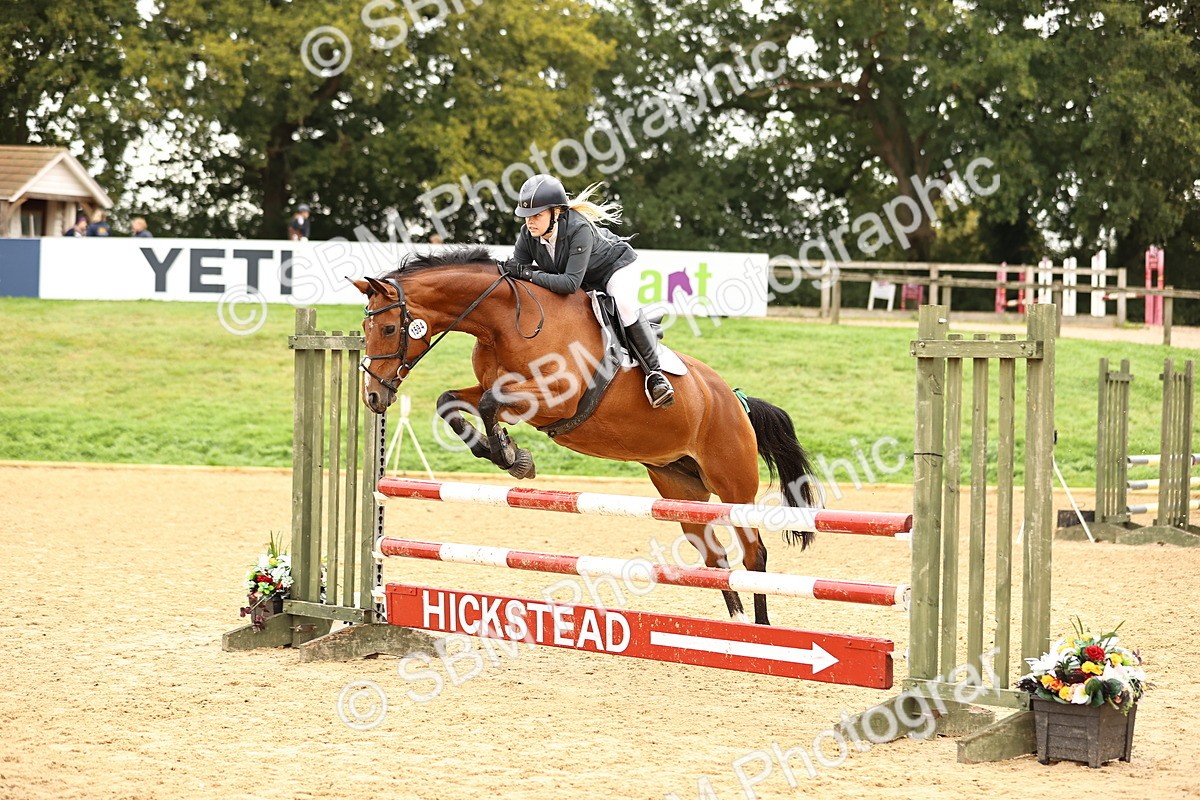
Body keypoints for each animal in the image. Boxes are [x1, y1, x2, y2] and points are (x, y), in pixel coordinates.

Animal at [353, 246, 819, 626]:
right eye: (365, 329)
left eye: (390, 329)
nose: (374, 396)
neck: (506, 322)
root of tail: (735, 400)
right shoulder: (501, 389)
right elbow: (451, 402)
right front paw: (507, 452)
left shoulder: (555, 398)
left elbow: (488, 403)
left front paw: (512, 456)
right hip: (679, 488)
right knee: (715, 556)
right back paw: (737, 629)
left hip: (732, 484)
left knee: (754, 553)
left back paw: (762, 632)